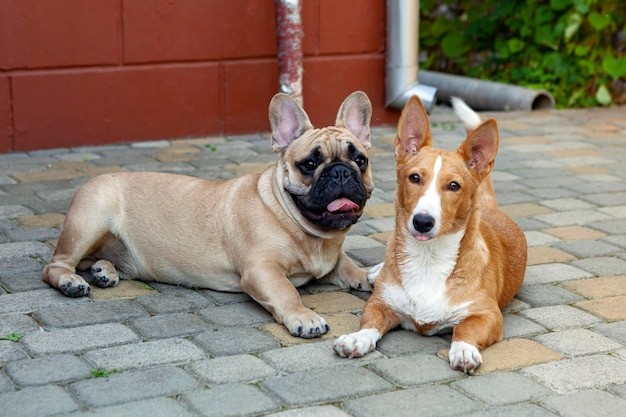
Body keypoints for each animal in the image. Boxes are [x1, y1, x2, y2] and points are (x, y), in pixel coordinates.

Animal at [334, 96, 524, 372]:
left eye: (454, 185)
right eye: (414, 178)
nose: (423, 221)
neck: (428, 258)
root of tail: (490, 208)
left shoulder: (488, 315)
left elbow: (464, 330)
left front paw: (463, 350)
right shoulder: (379, 304)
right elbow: (369, 322)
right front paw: (357, 339)